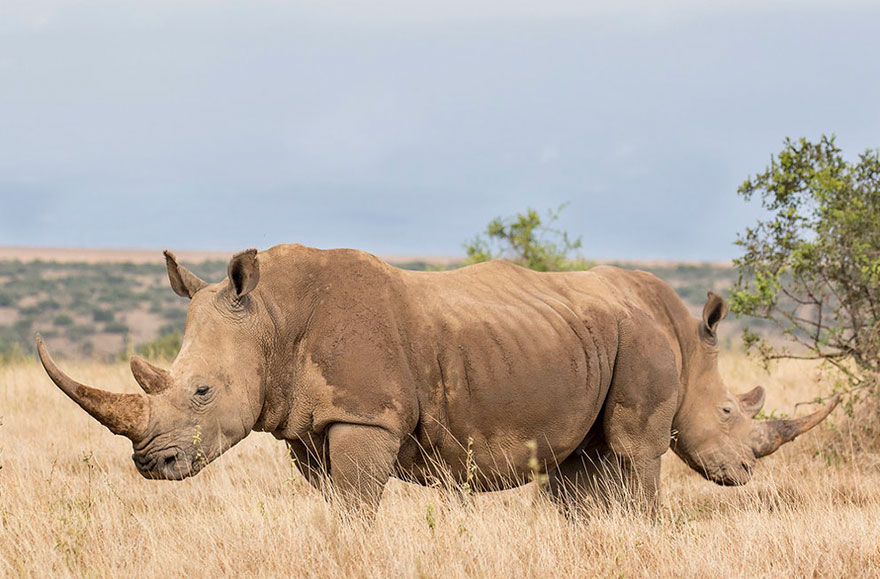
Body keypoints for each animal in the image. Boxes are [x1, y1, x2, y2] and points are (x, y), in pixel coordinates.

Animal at [37, 242, 840, 516]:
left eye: (201, 391)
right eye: (734, 411)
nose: (151, 463)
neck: (270, 315)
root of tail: (659, 306)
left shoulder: (365, 414)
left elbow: (356, 508)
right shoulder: (315, 424)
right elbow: (339, 507)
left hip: (633, 343)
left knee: (633, 456)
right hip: (592, 338)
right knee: (591, 462)